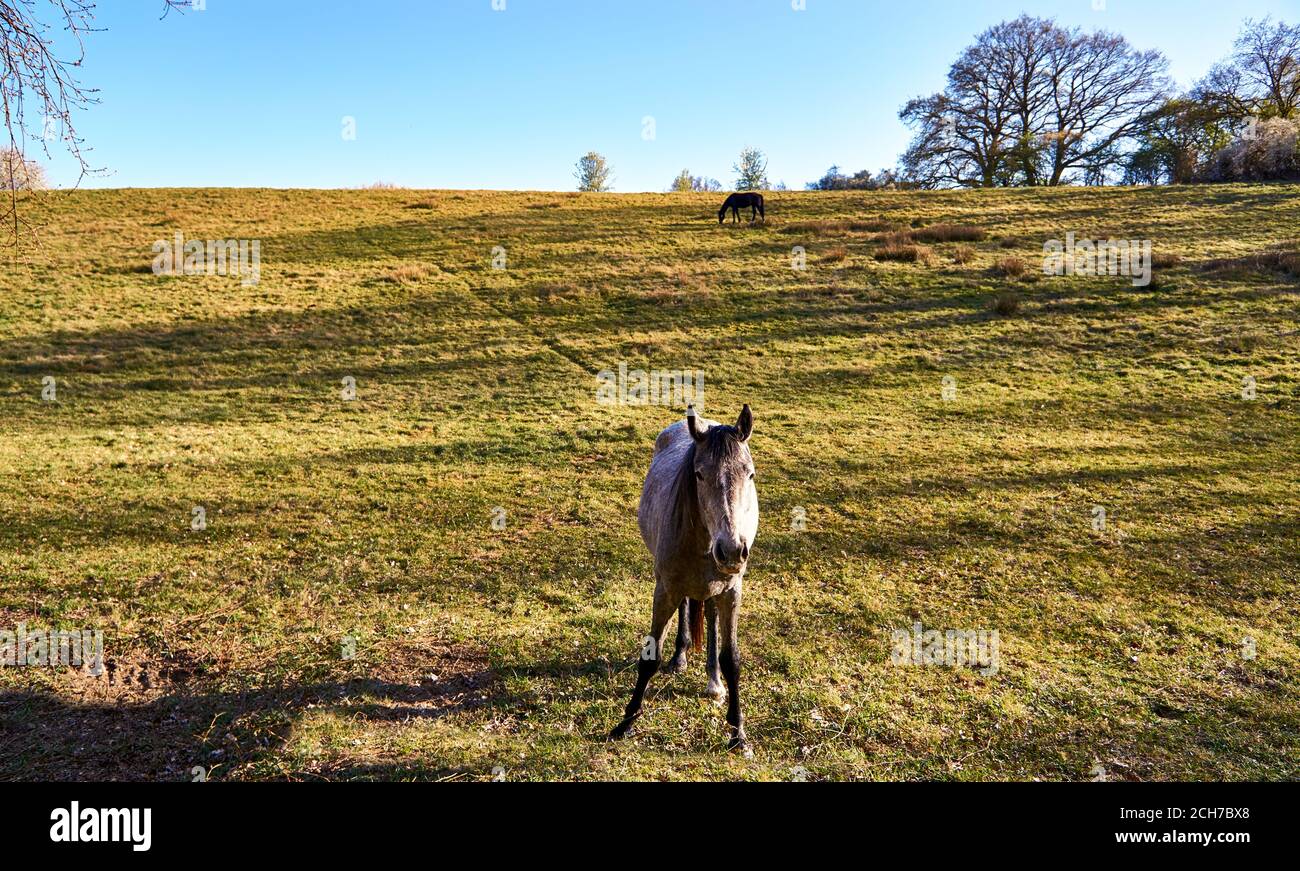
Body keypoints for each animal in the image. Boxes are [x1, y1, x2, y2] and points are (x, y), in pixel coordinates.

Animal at [611, 405, 759, 754]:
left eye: (749, 474)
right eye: (699, 474)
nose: (732, 550)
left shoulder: (732, 591)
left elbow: (731, 659)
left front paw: (738, 734)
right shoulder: (665, 589)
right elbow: (649, 658)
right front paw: (626, 722)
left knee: (710, 618)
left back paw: (713, 682)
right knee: (685, 610)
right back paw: (679, 657)